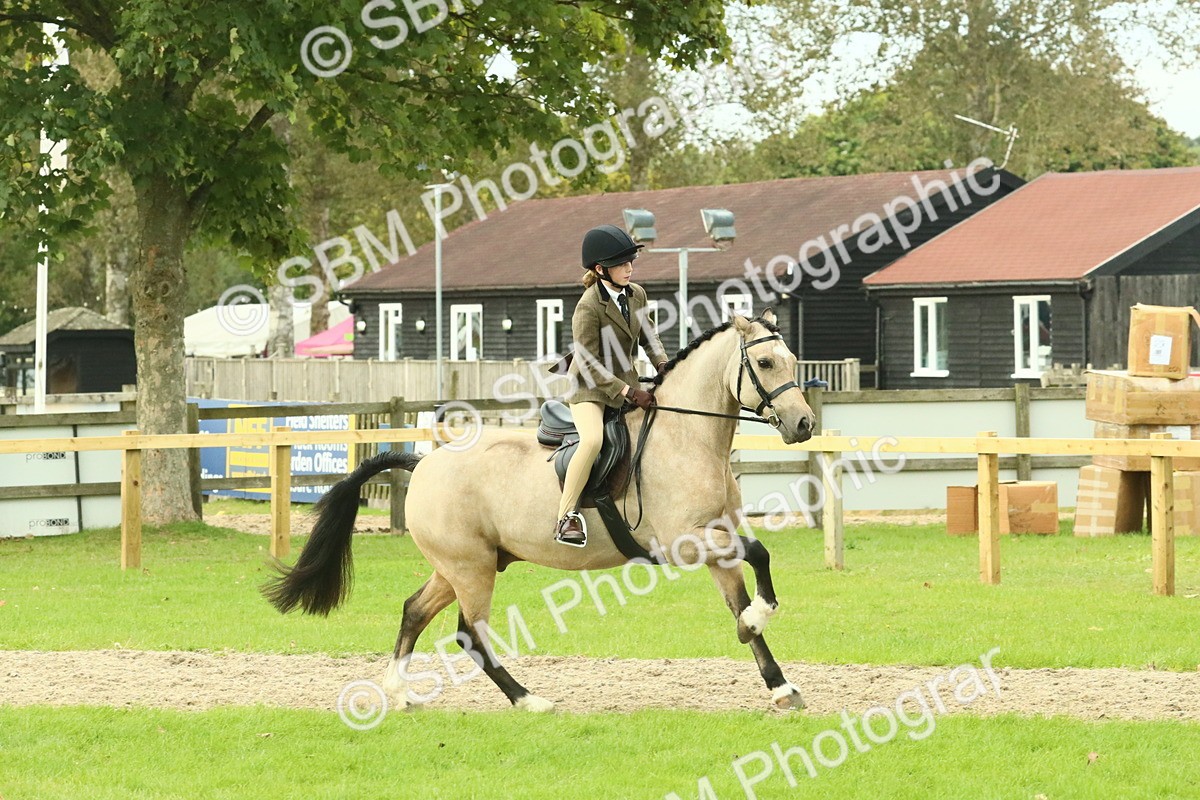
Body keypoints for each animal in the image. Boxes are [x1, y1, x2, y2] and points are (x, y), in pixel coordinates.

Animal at [263, 310, 817, 712]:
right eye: (766, 365)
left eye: (792, 358)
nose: (804, 424)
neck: (687, 437)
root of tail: (423, 463)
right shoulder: (685, 541)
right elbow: (760, 554)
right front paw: (757, 620)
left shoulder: (715, 543)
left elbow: (742, 593)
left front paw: (776, 678)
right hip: (471, 569)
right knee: (471, 635)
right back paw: (530, 701)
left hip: (460, 565)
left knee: (414, 611)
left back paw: (400, 695)